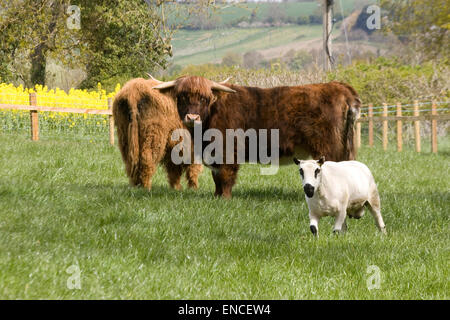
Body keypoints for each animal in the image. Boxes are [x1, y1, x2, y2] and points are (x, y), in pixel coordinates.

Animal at [153, 76, 360, 199]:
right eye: (182, 97)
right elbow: (216, 177)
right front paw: (216, 196)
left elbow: (225, 175)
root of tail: (340, 87)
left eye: (204, 98)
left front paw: (225, 198)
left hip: (330, 147)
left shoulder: (227, 151)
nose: (192, 117)